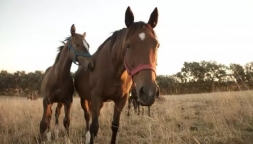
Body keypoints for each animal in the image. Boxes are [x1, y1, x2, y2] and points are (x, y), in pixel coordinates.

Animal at [73, 6, 160, 144]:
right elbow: (94, 127)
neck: (112, 71)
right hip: (85, 99)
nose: (149, 92)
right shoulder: (96, 96)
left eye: (157, 45)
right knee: (87, 118)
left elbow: (115, 126)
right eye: (128, 45)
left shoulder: (121, 100)